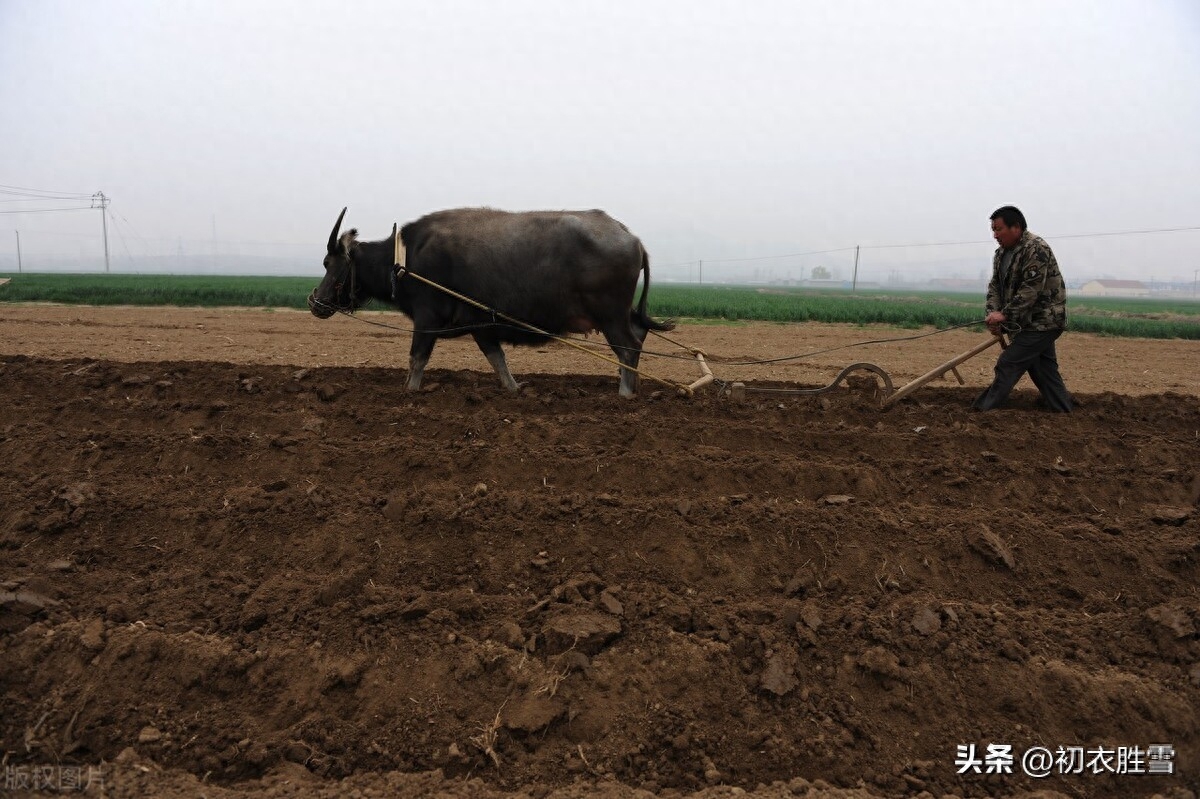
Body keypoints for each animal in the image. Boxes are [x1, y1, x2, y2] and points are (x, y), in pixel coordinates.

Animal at [309, 203, 676, 393]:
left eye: (330, 263)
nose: (316, 302)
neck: (405, 260)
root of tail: (631, 238)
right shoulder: (481, 324)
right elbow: (497, 359)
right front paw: (514, 388)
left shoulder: (427, 319)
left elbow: (417, 359)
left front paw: (410, 392)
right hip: (621, 313)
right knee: (638, 335)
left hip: (610, 315)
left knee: (629, 347)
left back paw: (624, 392)